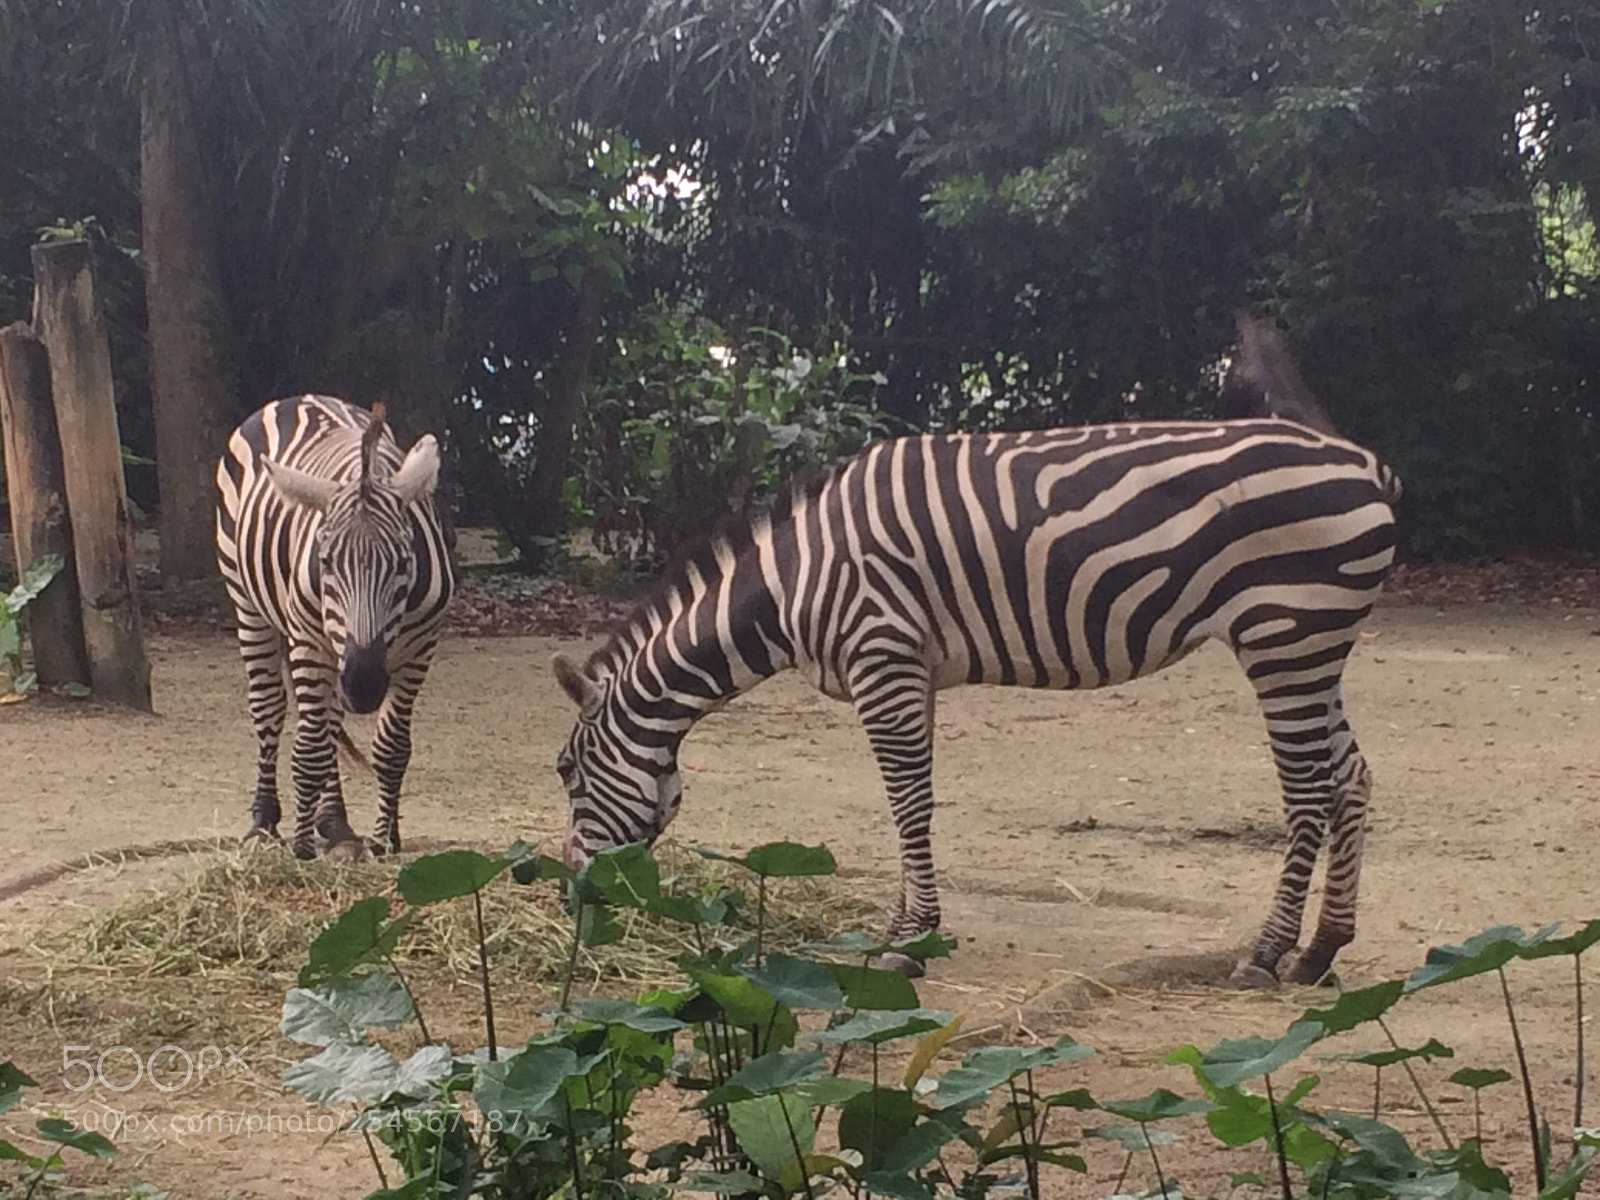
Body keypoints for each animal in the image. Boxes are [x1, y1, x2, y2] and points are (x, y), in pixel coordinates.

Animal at [215, 395, 455, 859]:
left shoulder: (421, 647)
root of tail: (299, 398)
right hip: (249, 604)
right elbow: (308, 749)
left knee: (327, 720)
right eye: (325, 563)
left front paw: (385, 839)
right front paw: (301, 848)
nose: (363, 685)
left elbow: (392, 747)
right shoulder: (310, 644)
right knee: (270, 707)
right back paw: (264, 821)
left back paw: (335, 822)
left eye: (404, 563)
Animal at [552, 320, 1399, 988]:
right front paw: (899, 929)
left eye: (564, 772)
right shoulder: (910, 671)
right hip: (1313, 642)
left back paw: (1266, 954)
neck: (791, 585)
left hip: (1283, 630)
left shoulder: (882, 655)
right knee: (1351, 777)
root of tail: (1362, 460)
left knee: (1308, 790)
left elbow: (909, 800)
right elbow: (905, 803)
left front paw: (914, 943)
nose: (569, 897)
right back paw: (1321, 950)